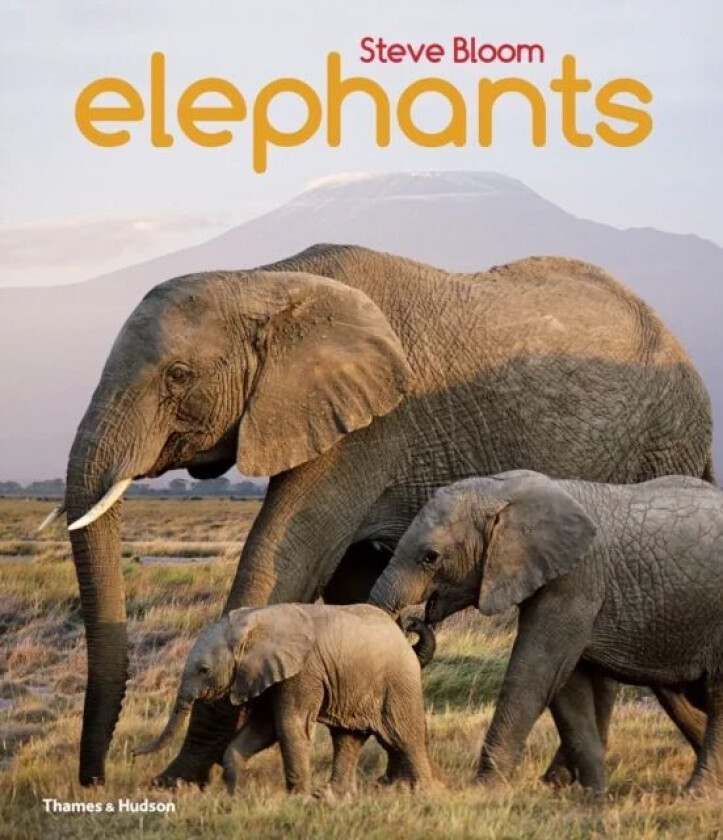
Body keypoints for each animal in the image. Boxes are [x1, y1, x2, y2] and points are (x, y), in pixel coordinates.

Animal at [133, 603, 434, 796]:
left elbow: (290, 725)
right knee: (347, 738)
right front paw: (235, 794)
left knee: (403, 734)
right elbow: (265, 728)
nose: (134, 753)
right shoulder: (269, 673)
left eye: (204, 670)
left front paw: (298, 798)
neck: (256, 620)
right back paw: (332, 796)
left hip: (397, 682)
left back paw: (424, 793)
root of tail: (402, 635)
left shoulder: (303, 670)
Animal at [369, 470, 723, 795]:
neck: (506, 492)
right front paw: (588, 796)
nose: (414, 623)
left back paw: (696, 793)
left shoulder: (575, 580)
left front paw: (485, 789)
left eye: (430, 557)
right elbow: (567, 687)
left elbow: (536, 674)